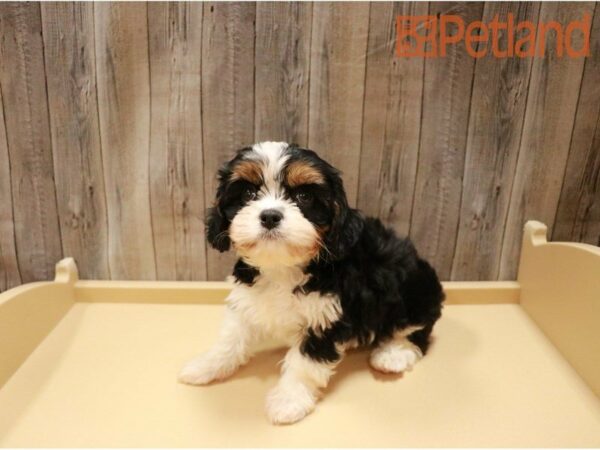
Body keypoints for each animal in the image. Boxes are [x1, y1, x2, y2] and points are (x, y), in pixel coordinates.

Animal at [177, 142, 440, 424]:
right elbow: (231, 336)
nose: (270, 216)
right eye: (248, 193)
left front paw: (288, 401)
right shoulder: (249, 297)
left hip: (413, 292)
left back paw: (393, 355)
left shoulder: (326, 316)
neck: (283, 265)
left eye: (303, 197)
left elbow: (305, 363)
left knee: (415, 331)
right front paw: (207, 365)